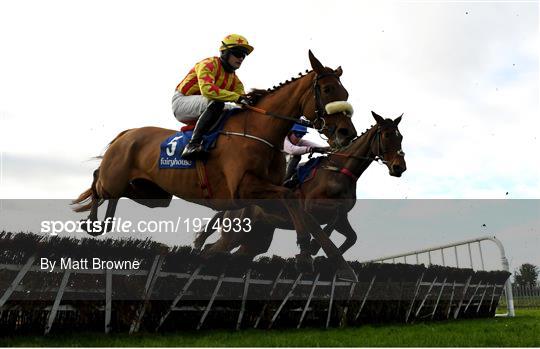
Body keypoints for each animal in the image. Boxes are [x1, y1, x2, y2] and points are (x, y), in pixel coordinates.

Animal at [71, 49, 358, 278]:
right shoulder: (241, 190)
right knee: (98, 181)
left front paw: (332, 263)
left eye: (345, 91)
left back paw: (105, 222)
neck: (260, 130)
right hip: (118, 179)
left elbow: (306, 214)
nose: (347, 133)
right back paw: (93, 222)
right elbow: (292, 199)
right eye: (327, 89)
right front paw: (306, 250)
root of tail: (127, 133)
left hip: (151, 194)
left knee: (113, 192)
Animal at [194, 111, 404, 258]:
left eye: (400, 137)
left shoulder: (343, 218)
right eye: (386, 135)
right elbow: (331, 217)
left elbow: (351, 236)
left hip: (257, 238)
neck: (338, 171)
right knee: (212, 249)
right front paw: (314, 247)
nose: (399, 167)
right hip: (235, 232)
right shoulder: (313, 207)